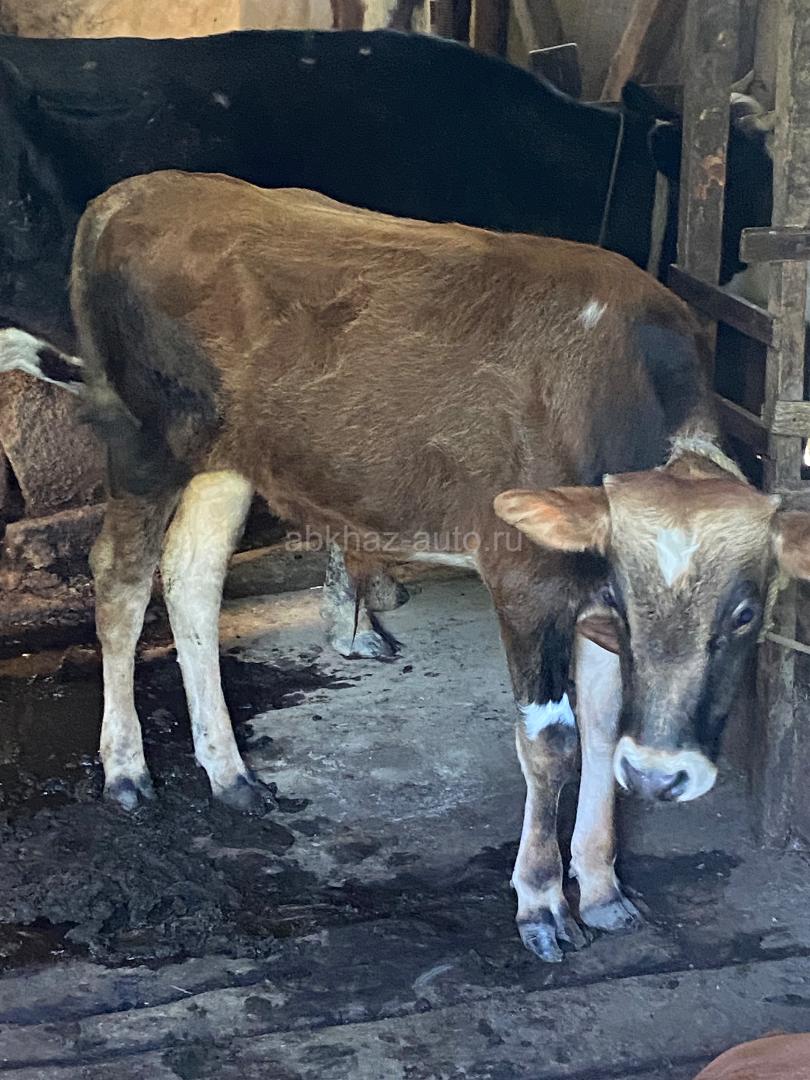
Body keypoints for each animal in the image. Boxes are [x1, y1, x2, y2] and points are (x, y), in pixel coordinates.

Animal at [7, 170, 810, 963]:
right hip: (141, 440)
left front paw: (604, 886)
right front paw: (543, 902)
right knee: (120, 581)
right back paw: (127, 770)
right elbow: (553, 744)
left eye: (745, 612)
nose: (662, 775)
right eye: (633, 600)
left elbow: (606, 727)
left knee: (192, 577)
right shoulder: (524, 577)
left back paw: (229, 772)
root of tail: (129, 193)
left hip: (230, 456)